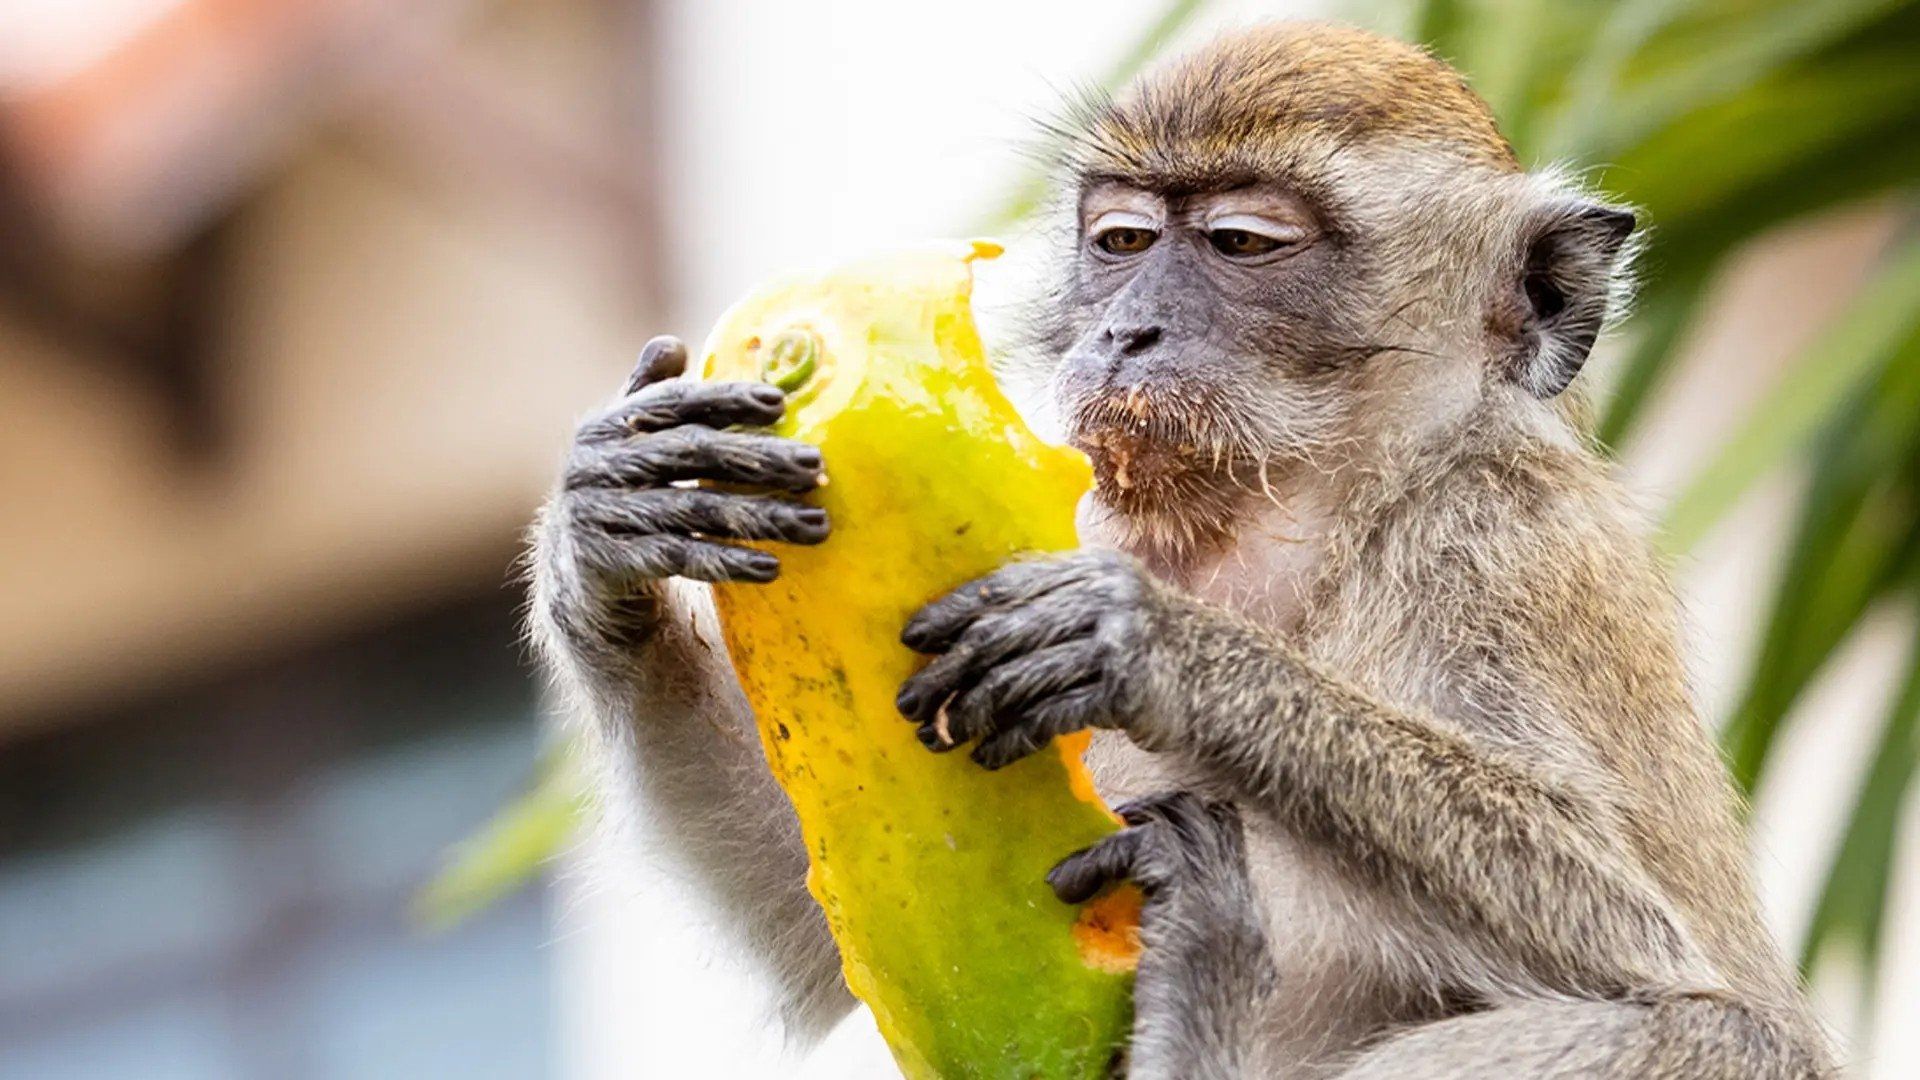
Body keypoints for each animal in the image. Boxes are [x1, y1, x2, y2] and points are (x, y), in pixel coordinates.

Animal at [528, 20, 1836, 1079]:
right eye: (1119, 240)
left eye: (1242, 244)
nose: (1124, 330)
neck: (1289, 516)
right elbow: (819, 934)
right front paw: (604, 537)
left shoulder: (1500, 542)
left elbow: (1649, 940)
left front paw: (1152, 647)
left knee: (1723, 1030)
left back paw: (1201, 1003)